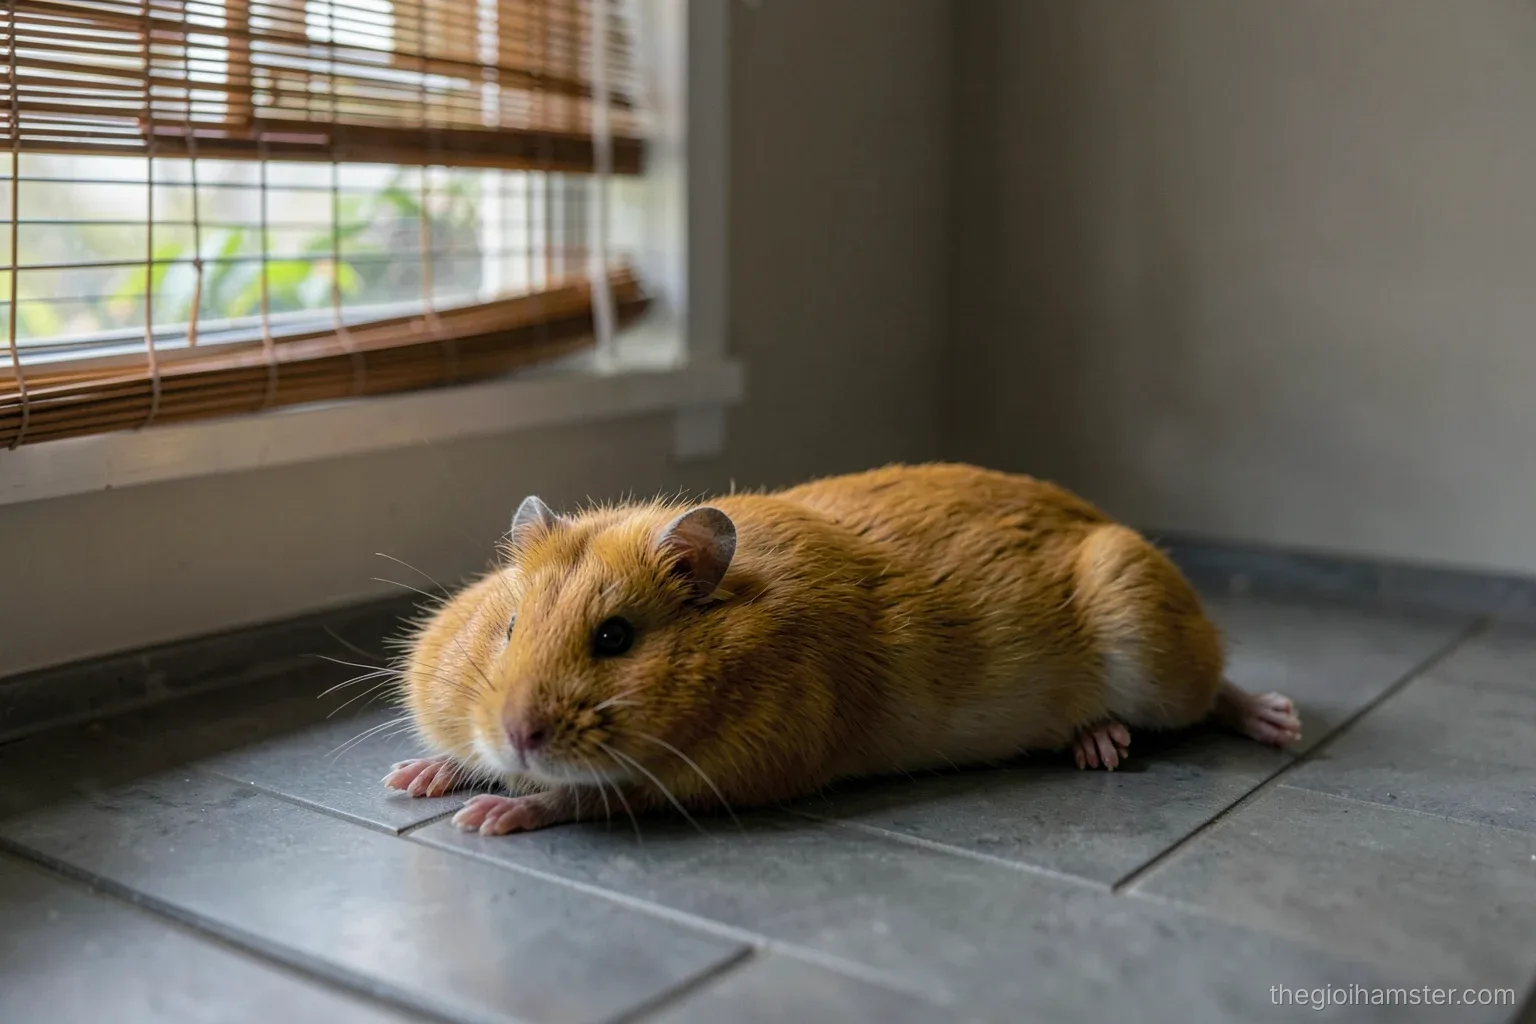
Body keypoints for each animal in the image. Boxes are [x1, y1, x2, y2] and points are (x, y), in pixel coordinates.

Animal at [384, 463, 1301, 836]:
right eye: (506, 627)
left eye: (615, 637)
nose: (516, 735)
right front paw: (420, 775)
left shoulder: (743, 767)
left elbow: (587, 799)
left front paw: (497, 811)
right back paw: (1097, 741)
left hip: (1152, 640)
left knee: (1216, 690)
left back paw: (1274, 720)